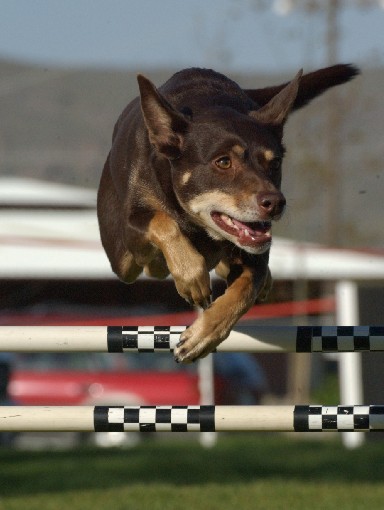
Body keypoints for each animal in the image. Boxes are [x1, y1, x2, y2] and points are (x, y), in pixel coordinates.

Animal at [97, 63, 358, 362]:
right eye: (223, 162)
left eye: (275, 163)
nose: (275, 203)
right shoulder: (133, 229)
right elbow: (163, 221)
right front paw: (191, 277)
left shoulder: (256, 255)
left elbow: (244, 291)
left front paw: (202, 337)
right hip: (123, 260)